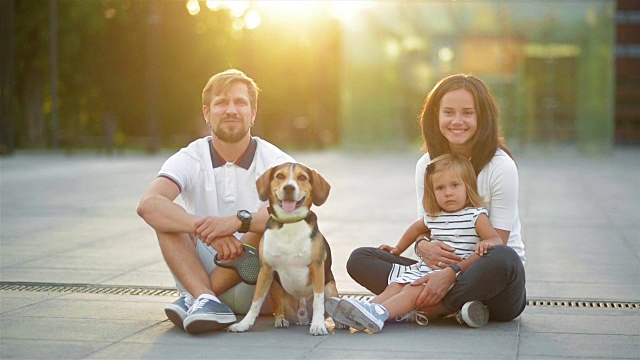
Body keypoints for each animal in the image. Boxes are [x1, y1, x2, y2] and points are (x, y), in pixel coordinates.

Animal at [229, 162, 342, 336]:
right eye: (280, 176)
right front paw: (244, 324)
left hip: (330, 287)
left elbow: (318, 301)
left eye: (302, 177)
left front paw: (318, 326)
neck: (289, 223)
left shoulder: (317, 268)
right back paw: (281, 320)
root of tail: (302, 316)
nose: (289, 187)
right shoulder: (266, 270)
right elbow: (255, 301)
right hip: (275, 287)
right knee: (278, 309)